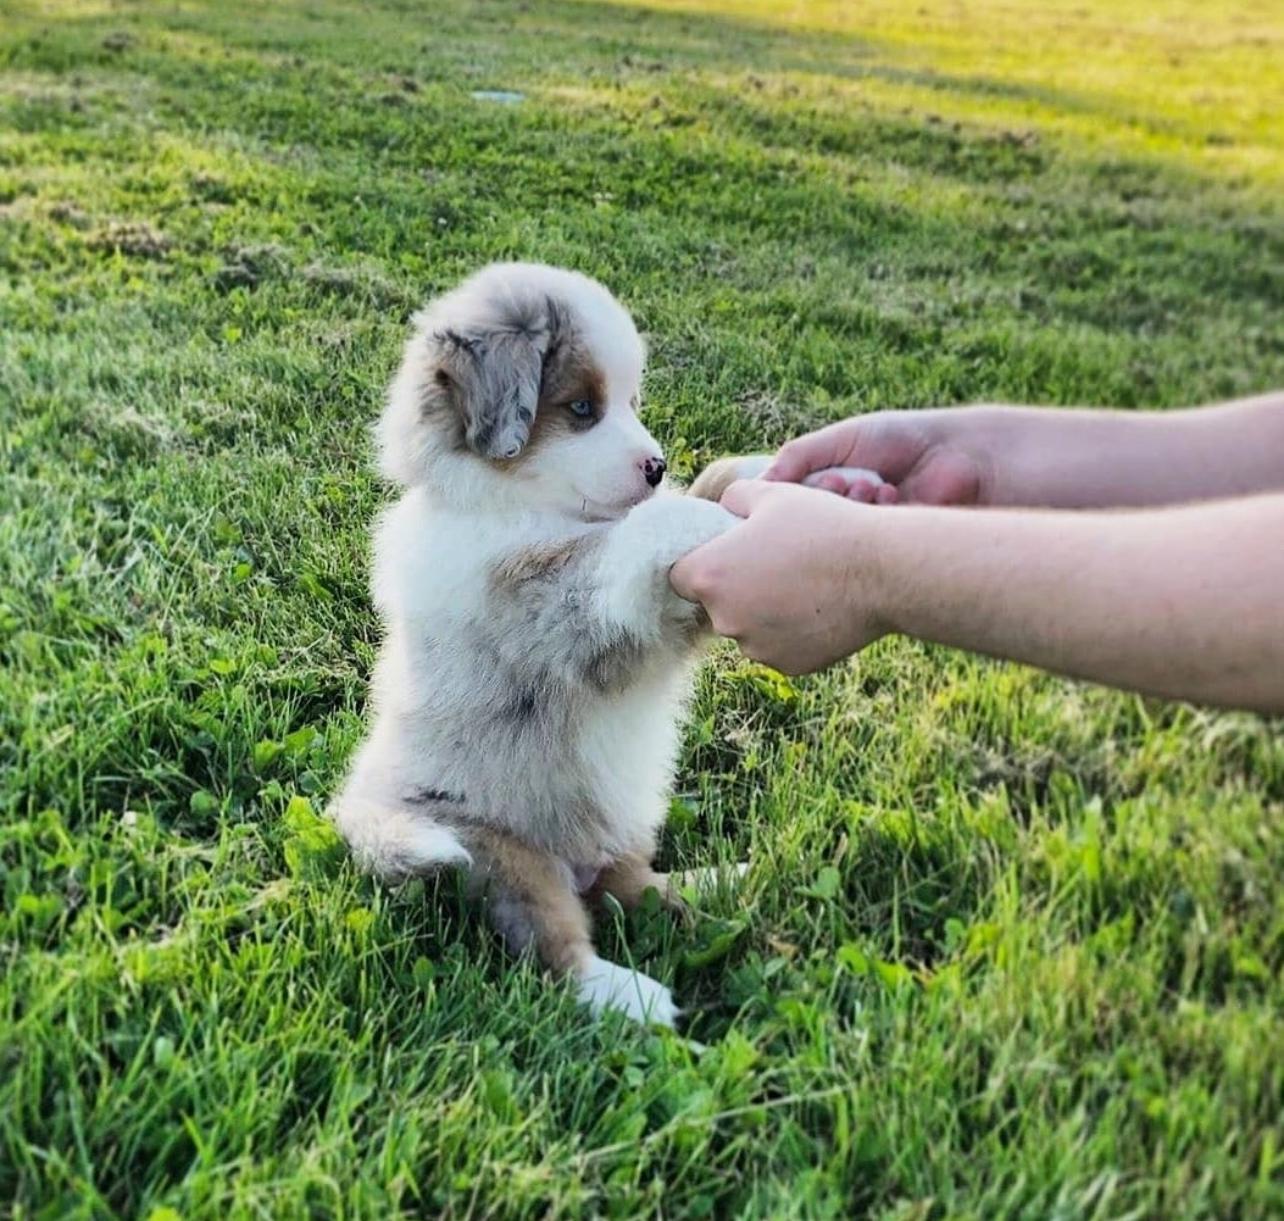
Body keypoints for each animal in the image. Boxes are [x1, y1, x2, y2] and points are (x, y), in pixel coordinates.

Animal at [331, 263, 749, 1027]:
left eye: (631, 401)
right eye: (581, 408)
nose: (655, 465)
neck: (524, 506)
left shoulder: (653, 628)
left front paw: (745, 476)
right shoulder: (553, 608)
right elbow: (625, 546)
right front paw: (706, 516)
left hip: (613, 837)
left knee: (637, 886)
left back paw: (721, 882)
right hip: (499, 851)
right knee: (557, 946)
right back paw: (635, 997)